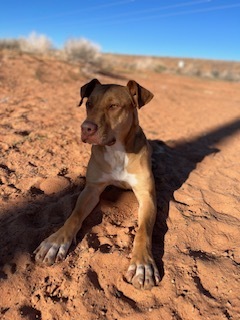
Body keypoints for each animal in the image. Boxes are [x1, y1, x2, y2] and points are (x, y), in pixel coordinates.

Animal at [33, 78, 160, 290]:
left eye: (114, 106)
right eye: (88, 104)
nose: (86, 128)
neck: (117, 150)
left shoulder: (147, 196)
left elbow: (143, 231)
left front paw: (142, 265)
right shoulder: (91, 189)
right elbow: (74, 216)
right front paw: (56, 242)